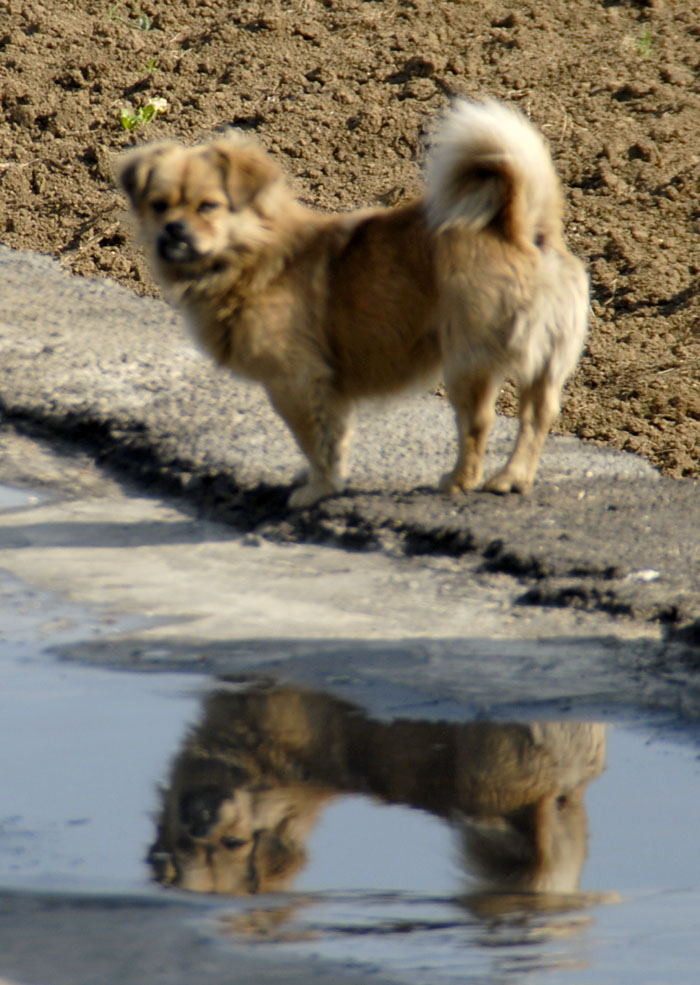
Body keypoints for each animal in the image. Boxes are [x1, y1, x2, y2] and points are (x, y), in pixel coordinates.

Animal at [117, 100, 588, 508]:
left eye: (208, 207)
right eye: (158, 206)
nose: (173, 229)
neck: (254, 256)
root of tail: (521, 230)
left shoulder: (295, 382)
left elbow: (312, 440)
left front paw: (316, 490)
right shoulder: (330, 389)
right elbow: (334, 439)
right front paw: (325, 481)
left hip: (465, 362)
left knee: (478, 423)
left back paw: (460, 481)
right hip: (545, 362)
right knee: (536, 415)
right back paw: (512, 478)